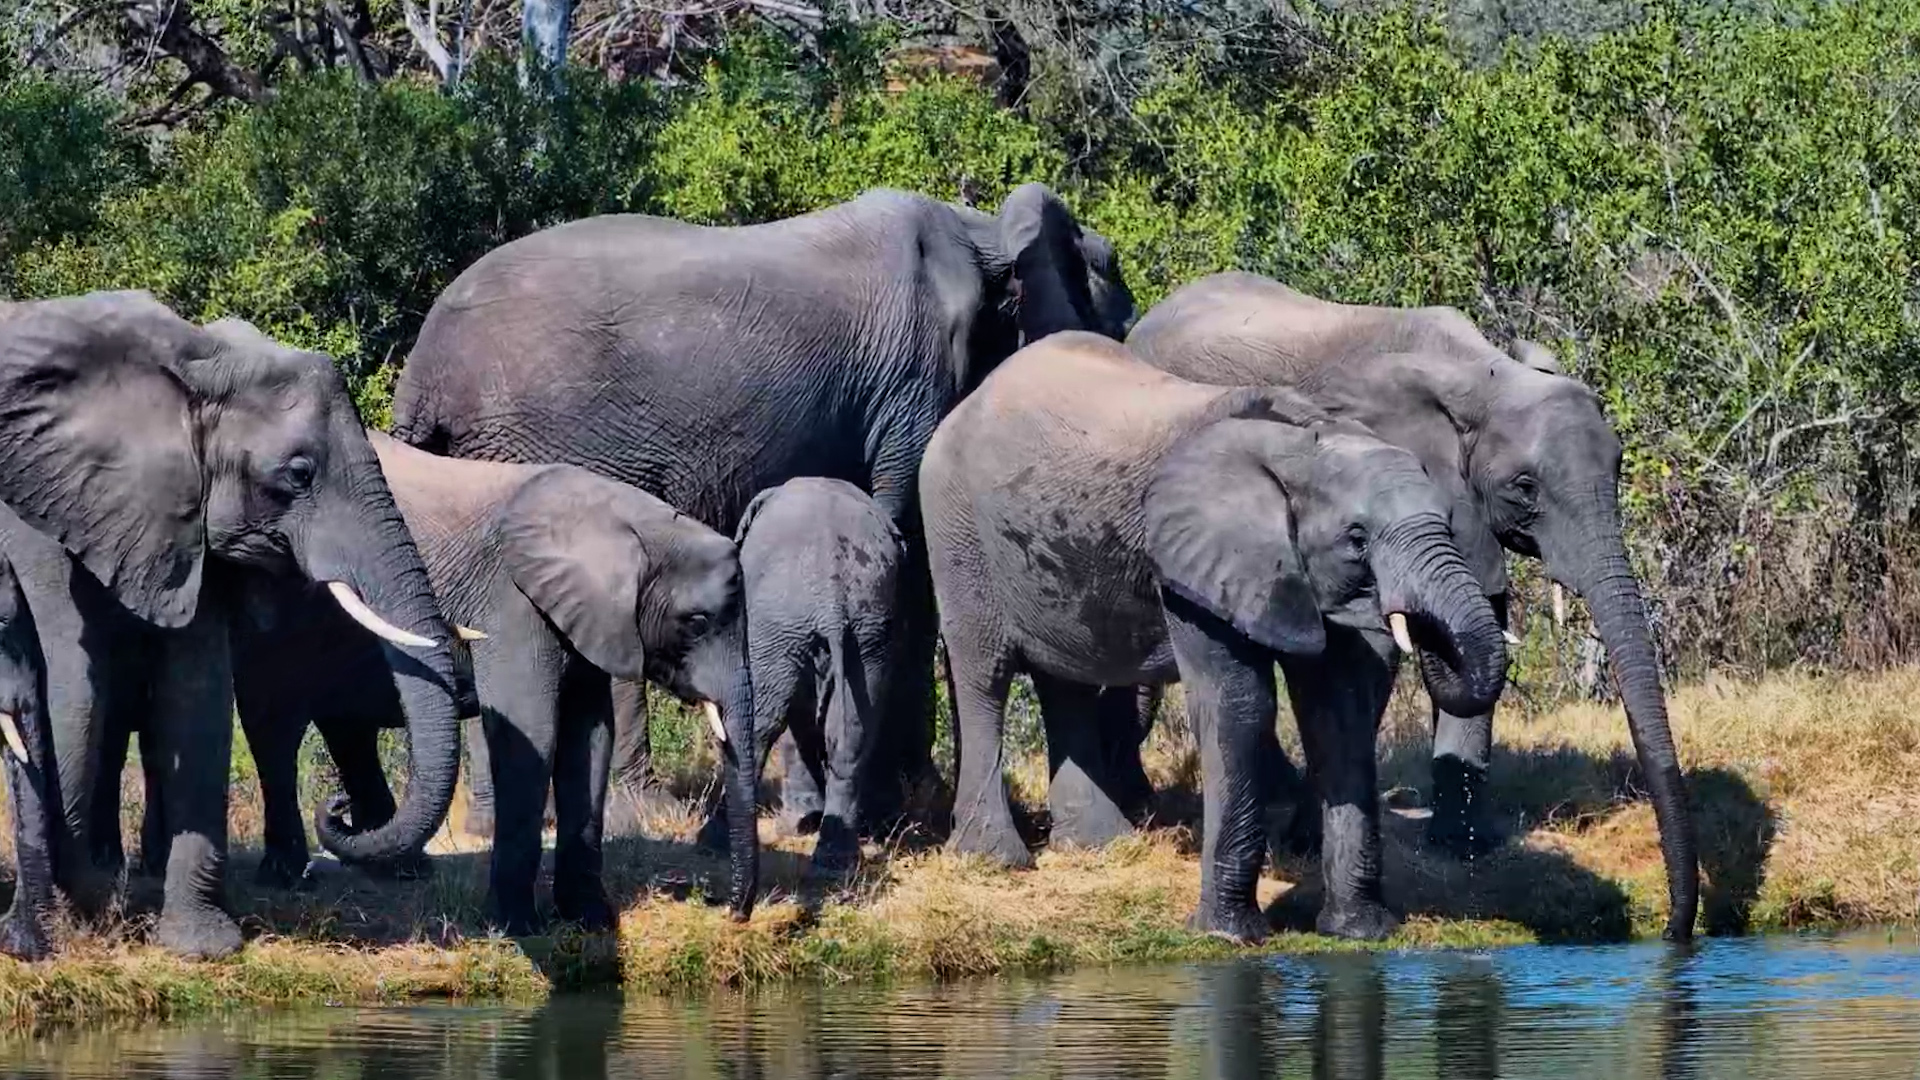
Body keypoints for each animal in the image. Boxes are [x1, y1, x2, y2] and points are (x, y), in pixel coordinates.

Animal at [0, 293, 468, 958]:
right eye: (298, 474)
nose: (338, 808)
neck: (192, 366)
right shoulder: (44, 509)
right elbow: (75, 691)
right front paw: (66, 924)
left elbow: (197, 696)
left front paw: (200, 946)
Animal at [231, 432, 756, 930]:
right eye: (697, 622)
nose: (729, 912)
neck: (628, 519)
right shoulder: (512, 601)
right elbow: (533, 728)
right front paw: (515, 926)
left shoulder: (585, 616)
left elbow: (589, 736)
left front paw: (590, 920)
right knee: (275, 726)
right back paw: (289, 876)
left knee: (346, 729)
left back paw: (398, 867)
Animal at [389, 183, 1135, 831]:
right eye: (1116, 295)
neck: (984, 231)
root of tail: (423, 372)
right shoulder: (914, 385)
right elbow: (910, 558)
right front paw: (901, 801)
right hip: (545, 438)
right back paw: (644, 815)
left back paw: (494, 824)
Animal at [919, 332, 1507, 941]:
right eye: (1357, 539)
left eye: (1447, 521)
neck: (1302, 442)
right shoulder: (1192, 565)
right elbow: (1239, 707)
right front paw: (1227, 934)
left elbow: (1339, 707)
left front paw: (1361, 932)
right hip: (955, 527)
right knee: (984, 676)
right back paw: (993, 858)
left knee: (1066, 681)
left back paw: (1099, 846)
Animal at [1125, 270, 1698, 941]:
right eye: (1525, 487)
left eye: (1619, 466)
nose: (1674, 933)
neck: (1482, 375)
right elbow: (1372, 661)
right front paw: (1310, 839)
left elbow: (1482, 623)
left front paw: (1463, 848)